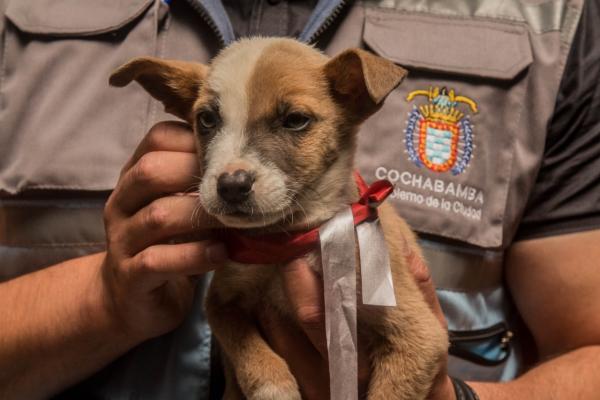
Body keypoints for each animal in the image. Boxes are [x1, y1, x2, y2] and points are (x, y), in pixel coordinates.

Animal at [110, 38, 448, 400]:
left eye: (295, 120)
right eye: (207, 119)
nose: (231, 185)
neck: (287, 240)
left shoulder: (419, 336)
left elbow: (389, 393)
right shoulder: (222, 303)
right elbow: (249, 351)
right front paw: (275, 387)